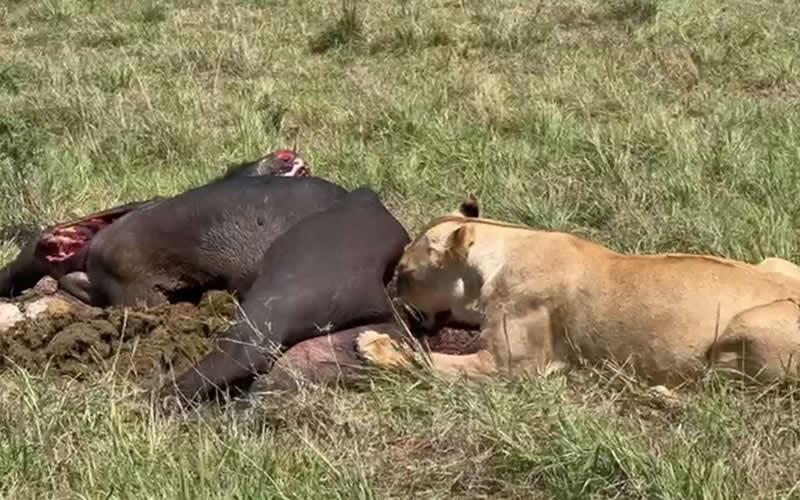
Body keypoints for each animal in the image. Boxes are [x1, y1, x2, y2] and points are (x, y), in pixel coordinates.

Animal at [356, 199, 800, 387]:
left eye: (402, 274)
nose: (391, 295)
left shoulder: (507, 368)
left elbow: (428, 360)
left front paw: (374, 346)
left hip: (746, 326)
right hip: (776, 260)